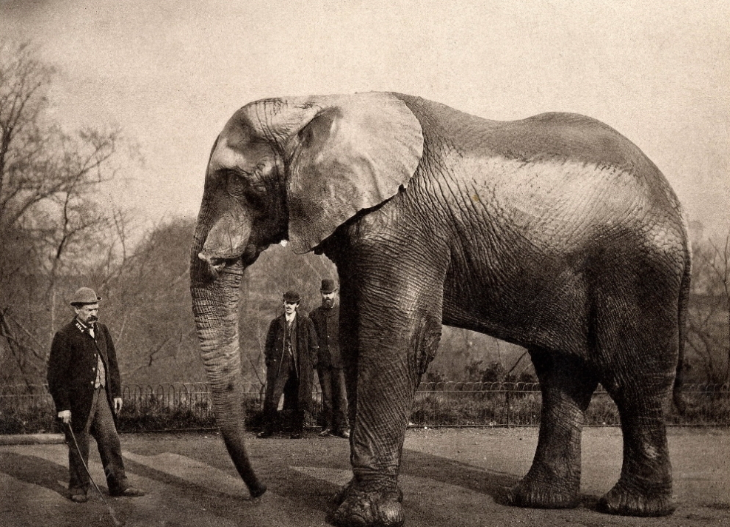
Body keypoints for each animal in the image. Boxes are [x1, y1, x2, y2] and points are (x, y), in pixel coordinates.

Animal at [190, 92, 690, 526]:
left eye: (241, 185)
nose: (258, 492)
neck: (316, 101)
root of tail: (678, 206)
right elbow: (355, 335)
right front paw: (349, 502)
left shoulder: (404, 222)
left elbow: (400, 335)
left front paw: (358, 516)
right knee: (562, 375)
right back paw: (538, 501)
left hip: (638, 268)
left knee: (631, 376)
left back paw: (632, 508)